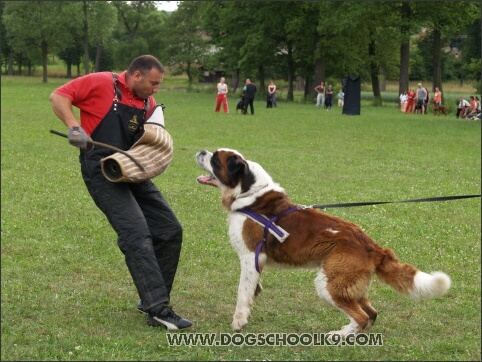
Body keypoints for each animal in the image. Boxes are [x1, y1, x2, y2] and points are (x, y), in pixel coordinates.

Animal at [194, 148, 450, 336]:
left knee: (362, 315)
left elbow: (242, 292)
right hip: (348, 285)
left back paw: (340, 336)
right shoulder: (255, 262)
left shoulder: (249, 256)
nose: (201, 151)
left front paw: (239, 321)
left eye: (216, 159)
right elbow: (252, 286)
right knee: (371, 313)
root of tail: (373, 246)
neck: (248, 194)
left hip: (330, 284)